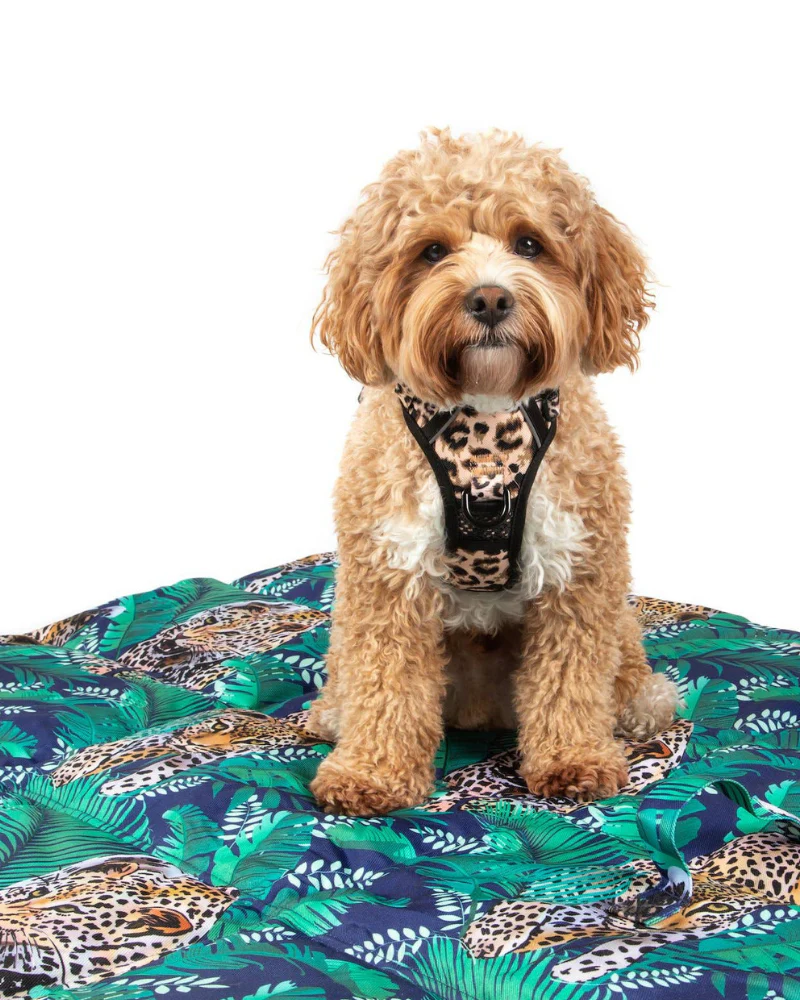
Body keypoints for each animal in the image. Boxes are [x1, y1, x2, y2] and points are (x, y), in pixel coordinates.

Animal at [51, 708, 323, 794]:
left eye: (255, 742)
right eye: (221, 726)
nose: (196, 742)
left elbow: (161, 767)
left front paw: (116, 786)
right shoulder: (166, 736)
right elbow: (117, 749)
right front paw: (68, 772)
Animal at [463, 830, 800, 982]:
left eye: (716, 911)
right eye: (670, 891)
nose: (638, 921)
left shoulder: (689, 932)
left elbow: (628, 946)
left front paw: (580, 968)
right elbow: (537, 897)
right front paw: (488, 934)